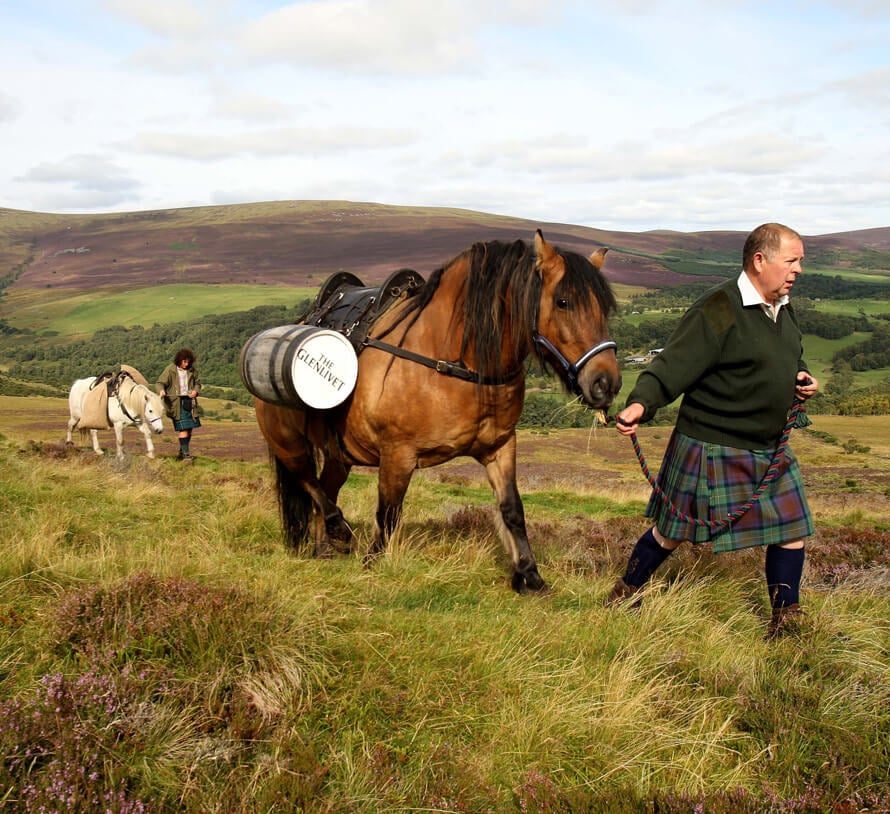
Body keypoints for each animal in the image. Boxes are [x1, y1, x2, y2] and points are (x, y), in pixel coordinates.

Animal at [253, 230, 620, 592]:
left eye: (604, 308)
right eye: (563, 302)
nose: (606, 382)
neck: (452, 362)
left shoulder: (500, 448)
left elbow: (512, 509)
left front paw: (529, 575)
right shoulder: (397, 454)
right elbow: (388, 513)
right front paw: (373, 566)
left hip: (339, 455)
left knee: (323, 489)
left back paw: (324, 549)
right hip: (289, 444)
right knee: (310, 485)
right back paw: (338, 528)